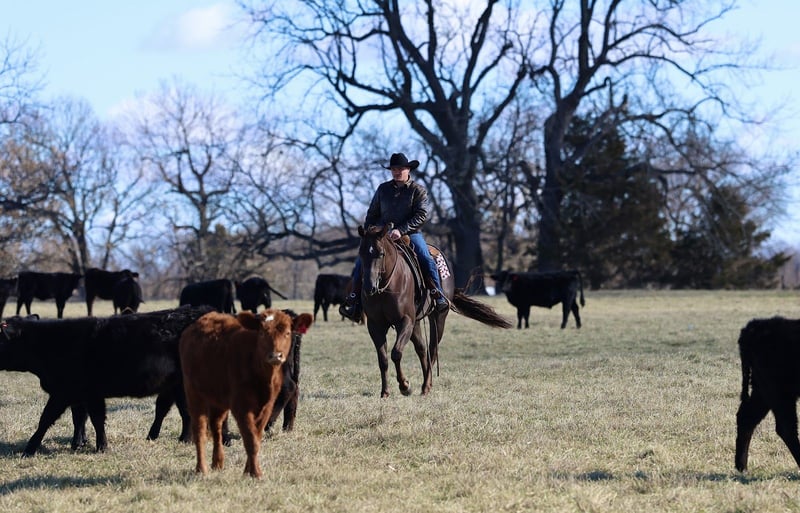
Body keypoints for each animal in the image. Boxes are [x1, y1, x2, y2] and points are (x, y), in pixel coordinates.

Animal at [0, 305, 213, 456]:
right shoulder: (82, 395)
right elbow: (83, 418)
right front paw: (81, 444)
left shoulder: (66, 393)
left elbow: (48, 419)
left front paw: (29, 449)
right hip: (175, 386)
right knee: (176, 410)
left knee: (187, 411)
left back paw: (185, 439)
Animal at [180, 309, 302, 477]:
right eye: (262, 333)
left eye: (287, 333)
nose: (275, 355)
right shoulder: (241, 408)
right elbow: (250, 439)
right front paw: (255, 473)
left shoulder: (266, 407)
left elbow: (256, 437)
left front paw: (248, 470)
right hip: (194, 395)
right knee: (199, 430)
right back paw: (201, 468)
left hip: (218, 401)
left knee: (216, 427)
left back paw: (217, 463)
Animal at [357, 224, 512, 397]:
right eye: (361, 253)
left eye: (381, 253)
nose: (369, 287)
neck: (387, 287)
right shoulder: (375, 325)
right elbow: (383, 359)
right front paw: (385, 392)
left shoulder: (405, 321)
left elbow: (396, 353)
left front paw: (405, 386)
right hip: (416, 323)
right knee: (422, 349)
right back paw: (426, 384)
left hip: (438, 317)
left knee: (432, 349)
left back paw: (426, 386)